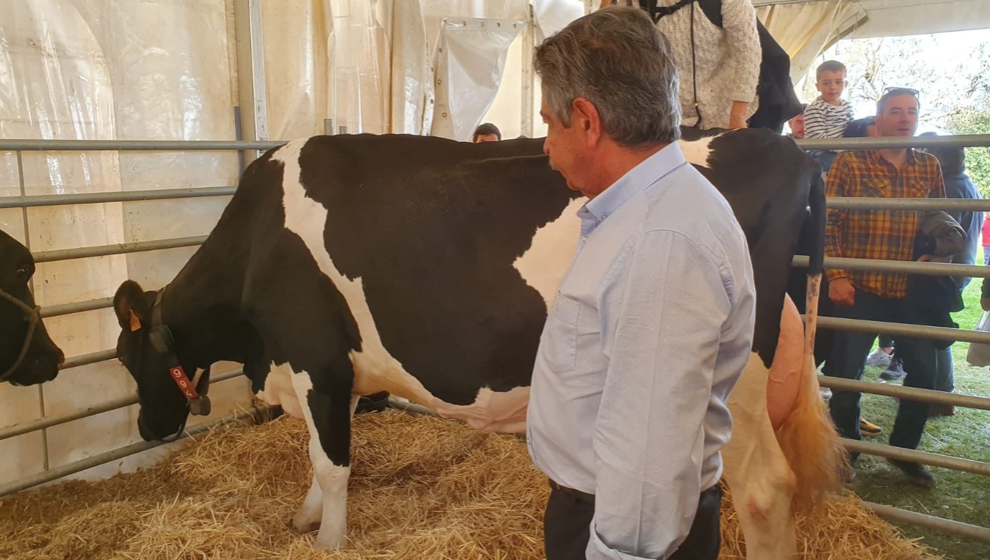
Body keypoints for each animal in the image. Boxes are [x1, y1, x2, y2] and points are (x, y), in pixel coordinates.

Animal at [112, 131, 840, 556]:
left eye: (126, 356)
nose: (148, 428)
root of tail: (785, 149)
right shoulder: (328, 373)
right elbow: (323, 456)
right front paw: (305, 519)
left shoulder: (315, 358)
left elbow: (332, 462)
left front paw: (329, 540)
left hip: (727, 389)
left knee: (764, 490)